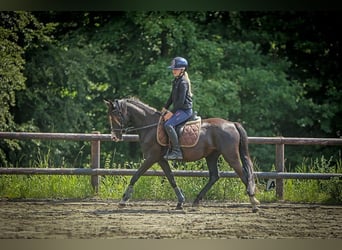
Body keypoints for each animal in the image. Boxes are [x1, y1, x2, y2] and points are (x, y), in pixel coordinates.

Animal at [104, 96, 260, 212]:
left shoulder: (152, 157)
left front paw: (123, 199)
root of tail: (232, 124)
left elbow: (136, 175)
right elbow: (171, 178)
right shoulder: (161, 159)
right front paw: (180, 202)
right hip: (211, 156)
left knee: (243, 175)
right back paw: (196, 201)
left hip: (230, 156)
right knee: (214, 176)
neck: (150, 125)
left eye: (116, 114)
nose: (115, 137)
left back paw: (253, 203)